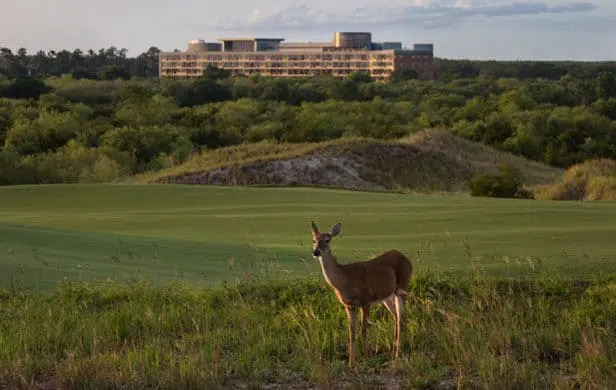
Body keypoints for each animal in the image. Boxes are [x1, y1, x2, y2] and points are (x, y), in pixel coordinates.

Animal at [308, 221, 414, 368]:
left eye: (327, 240)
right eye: (314, 240)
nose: (316, 252)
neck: (346, 280)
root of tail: (405, 257)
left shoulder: (366, 301)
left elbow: (363, 331)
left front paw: (366, 357)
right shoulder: (348, 306)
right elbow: (351, 333)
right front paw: (351, 362)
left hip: (402, 287)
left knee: (401, 318)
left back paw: (398, 355)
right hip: (387, 296)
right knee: (396, 317)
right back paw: (394, 352)